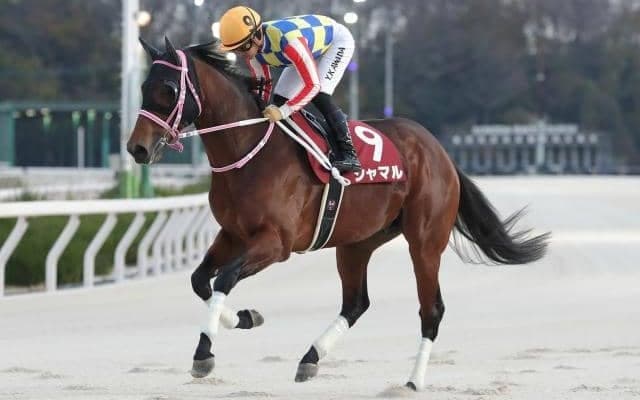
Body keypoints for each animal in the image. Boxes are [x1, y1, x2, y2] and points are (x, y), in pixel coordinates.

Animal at [126, 37, 550, 391]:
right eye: (144, 88)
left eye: (168, 90)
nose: (137, 149)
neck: (248, 149)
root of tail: (440, 151)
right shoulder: (231, 234)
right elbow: (201, 280)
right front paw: (245, 317)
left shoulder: (276, 242)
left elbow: (224, 279)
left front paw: (204, 353)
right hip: (356, 242)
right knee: (356, 303)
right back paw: (310, 358)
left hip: (425, 242)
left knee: (431, 310)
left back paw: (412, 381)